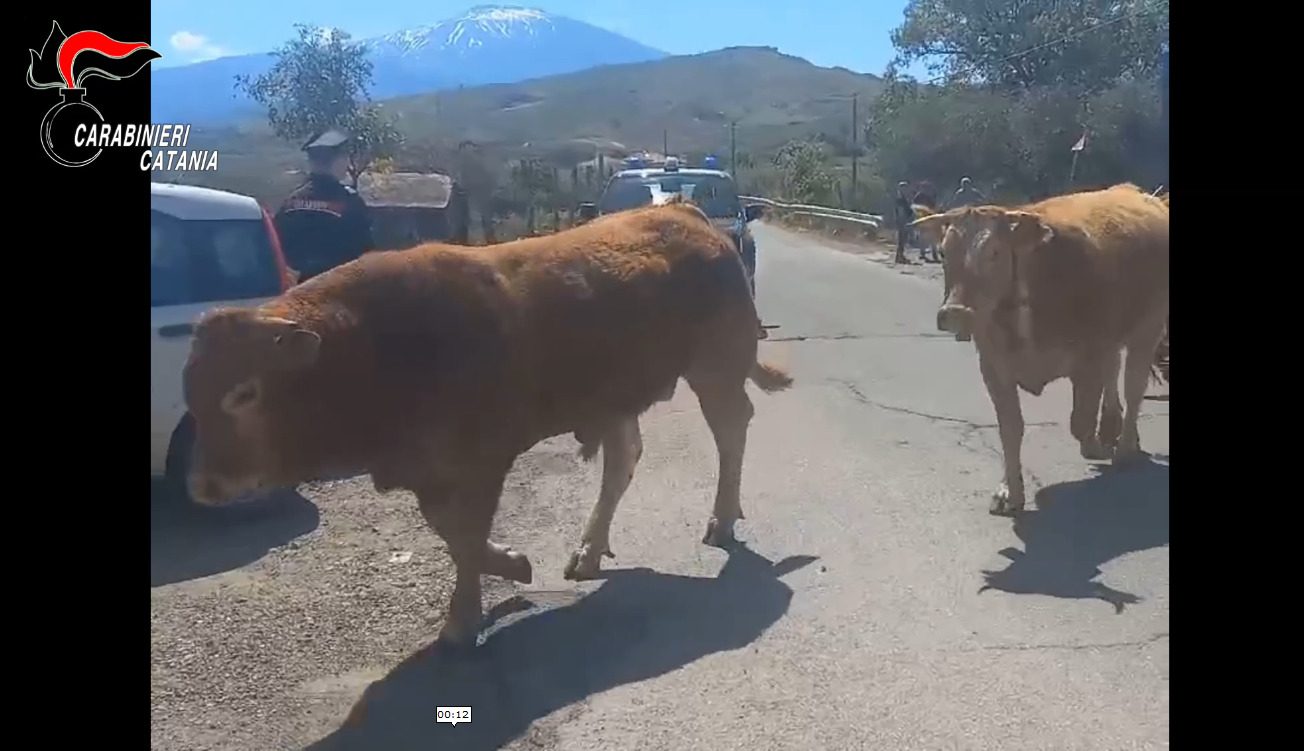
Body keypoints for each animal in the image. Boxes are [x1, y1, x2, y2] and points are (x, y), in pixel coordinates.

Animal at [181, 198, 792, 646]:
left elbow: (468, 534)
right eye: (190, 394)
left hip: (715, 367)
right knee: (622, 461)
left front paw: (469, 612)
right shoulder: (430, 471)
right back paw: (590, 550)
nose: (202, 485)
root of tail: (687, 214)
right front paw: (505, 573)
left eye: (244, 393)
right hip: (616, 396)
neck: (380, 344)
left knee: (731, 431)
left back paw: (721, 519)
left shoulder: (483, 459)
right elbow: (453, 533)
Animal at [907, 185, 1173, 518]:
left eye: (995, 252)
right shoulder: (994, 367)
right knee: (1115, 374)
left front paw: (1095, 446)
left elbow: (1079, 422)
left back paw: (1124, 448)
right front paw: (1009, 492)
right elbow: (1010, 429)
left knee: (1133, 388)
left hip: (1148, 329)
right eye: (943, 253)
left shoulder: (1090, 358)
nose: (955, 313)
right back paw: (1113, 430)